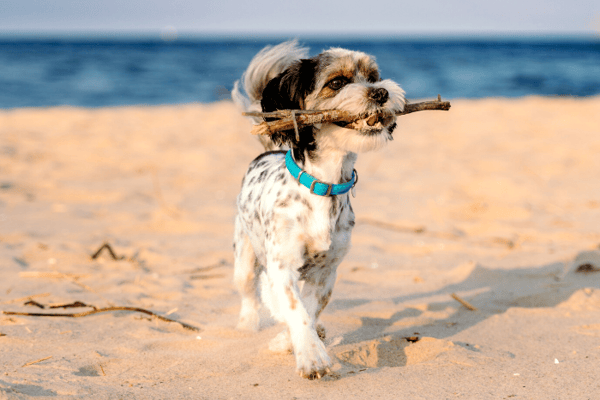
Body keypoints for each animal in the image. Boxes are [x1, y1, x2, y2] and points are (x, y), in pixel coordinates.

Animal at [232, 40, 406, 378]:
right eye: (337, 83)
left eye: (373, 77)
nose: (380, 92)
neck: (324, 185)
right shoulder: (282, 265)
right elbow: (294, 308)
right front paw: (312, 357)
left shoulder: (327, 271)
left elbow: (310, 310)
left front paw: (294, 341)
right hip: (245, 256)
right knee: (251, 292)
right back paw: (247, 324)